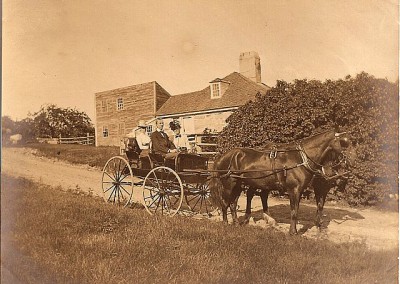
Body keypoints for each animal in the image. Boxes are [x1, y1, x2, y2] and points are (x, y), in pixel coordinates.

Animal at [208, 130, 354, 234]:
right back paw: (226, 223)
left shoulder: (307, 190)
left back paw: (237, 223)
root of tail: (223, 156)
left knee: (233, 203)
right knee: (225, 203)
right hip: (229, 185)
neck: (301, 159)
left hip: (239, 185)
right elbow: (294, 211)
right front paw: (293, 232)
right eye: (345, 142)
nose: (353, 160)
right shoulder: (294, 190)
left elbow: (314, 207)